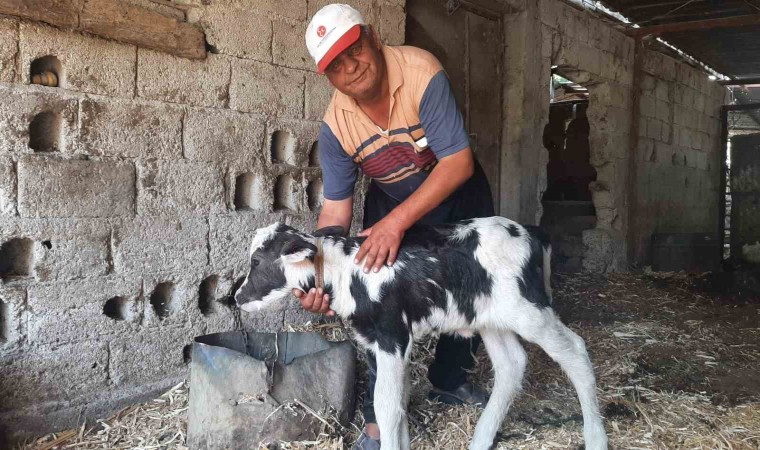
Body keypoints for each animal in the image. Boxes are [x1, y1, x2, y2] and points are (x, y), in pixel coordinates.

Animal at [235, 216, 608, 448]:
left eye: (256, 262)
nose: (236, 298)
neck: (344, 272)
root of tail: (529, 230)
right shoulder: (380, 343)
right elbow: (397, 403)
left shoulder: (392, 336)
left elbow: (386, 406)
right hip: (489, 316)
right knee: (511, 364)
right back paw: (481, 439)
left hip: (530, 310)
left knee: (575, 351)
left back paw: (596, 437)